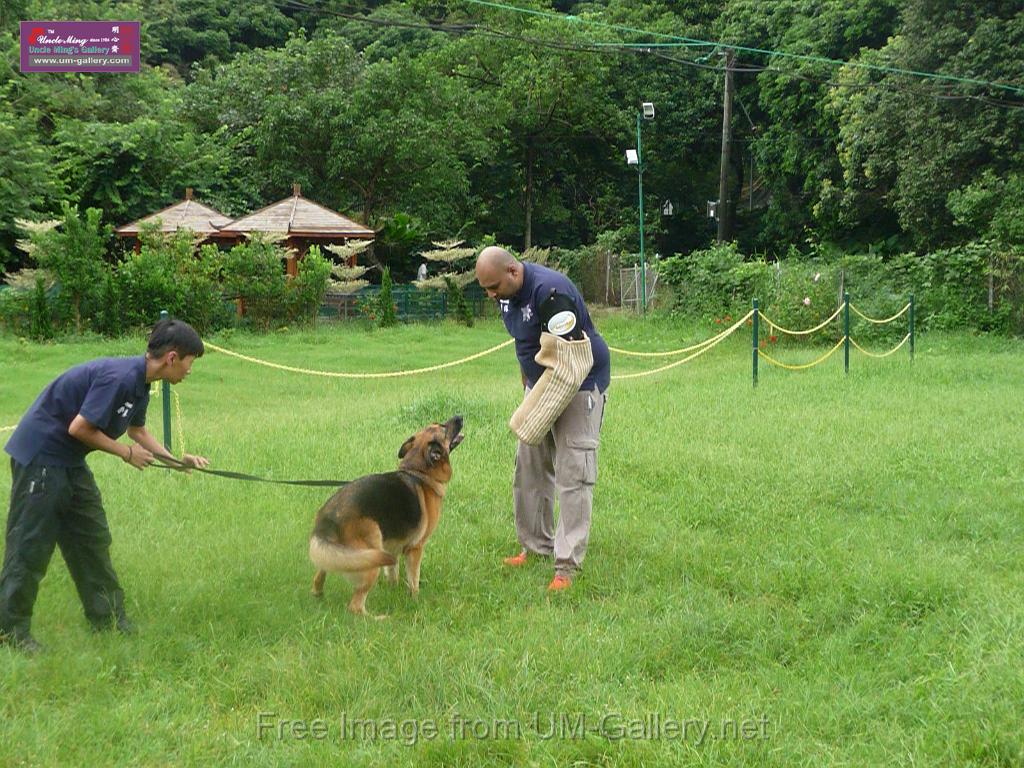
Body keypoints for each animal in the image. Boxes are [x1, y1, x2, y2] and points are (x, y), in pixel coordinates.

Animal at [305, 417, 462, 618]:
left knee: (319, 574)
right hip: (369, 558)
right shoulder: (415, 548)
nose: (459, 416)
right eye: (444, 428)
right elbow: (414, 580)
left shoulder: (393, 546)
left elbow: (393, 572)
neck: (418, 472)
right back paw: (379, 618)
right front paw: (415, 601)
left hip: (342, 555)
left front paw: (393, 590)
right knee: (355, 606)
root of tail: (328, 518)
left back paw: (318, 594)